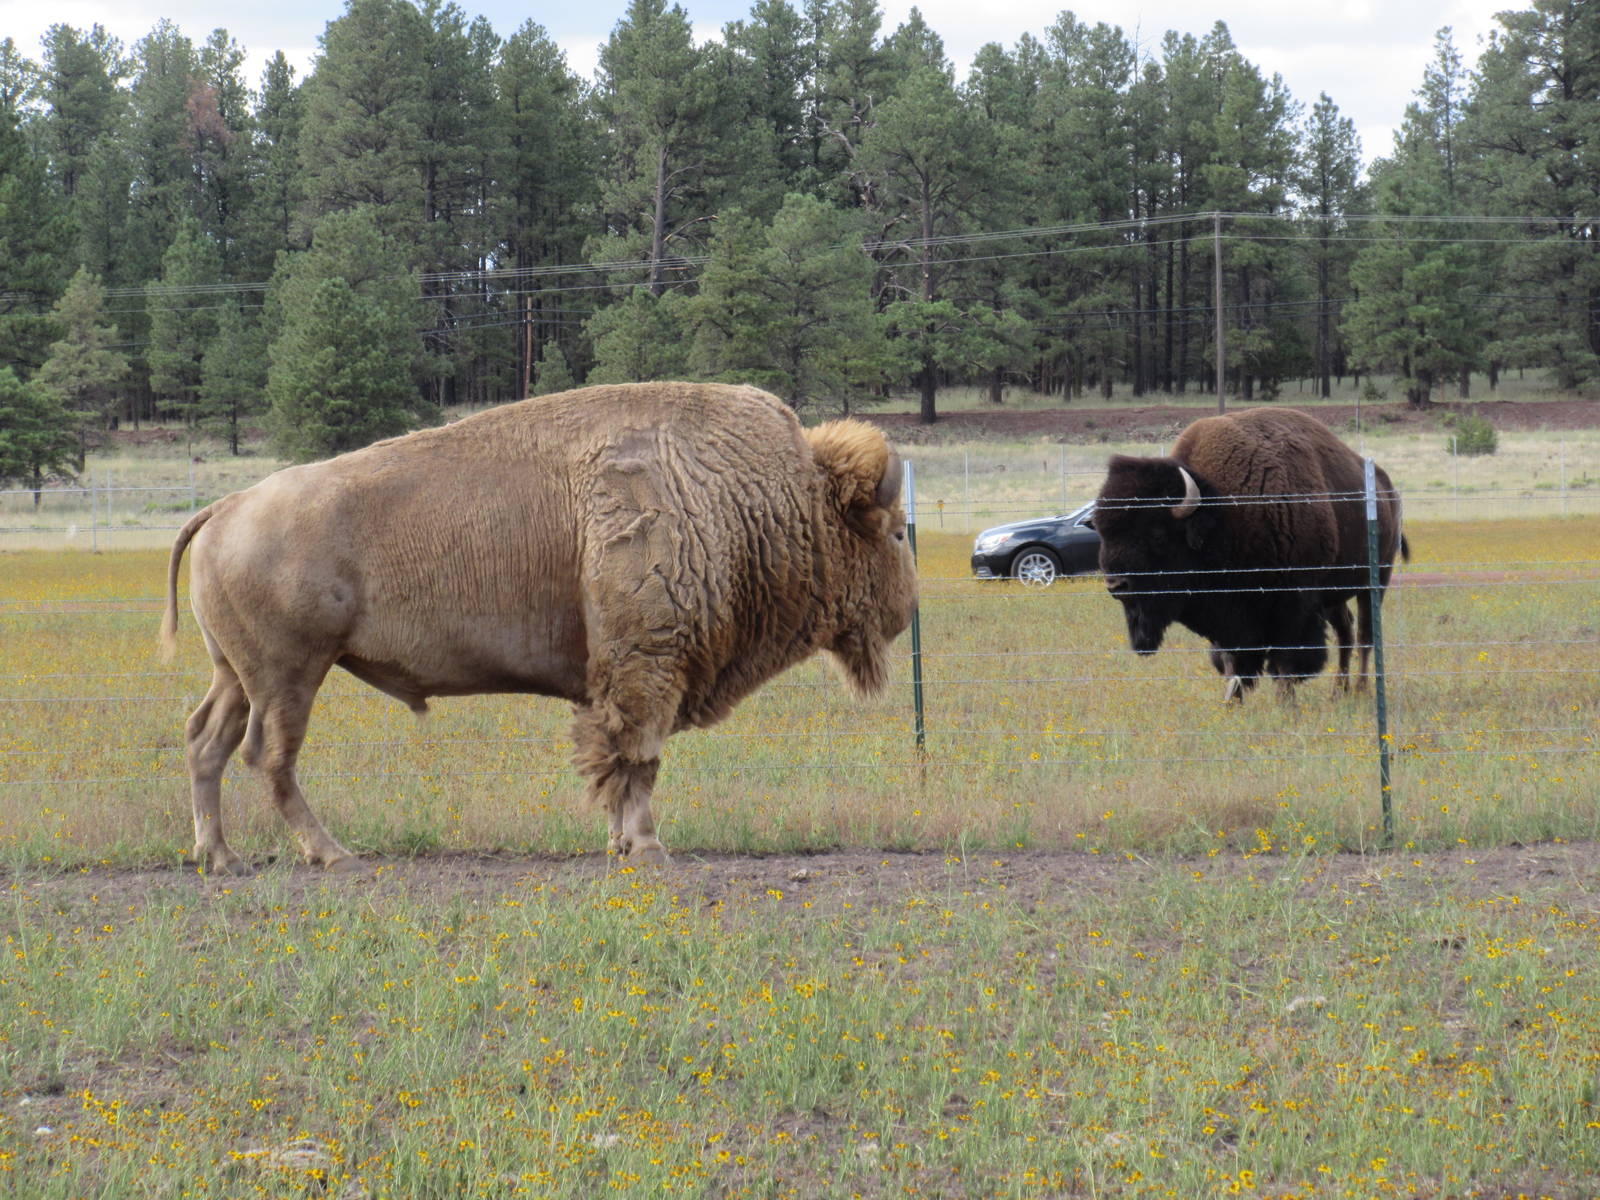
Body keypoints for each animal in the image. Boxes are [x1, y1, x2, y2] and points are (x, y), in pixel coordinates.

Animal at [160, 382, 918, 872]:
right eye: (889, 532)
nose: (905, 610)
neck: (753, 493)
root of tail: (226, 506)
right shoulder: (648, 666)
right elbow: (637, 758)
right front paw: (648, 847)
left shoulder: (621, 679)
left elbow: (618, 762)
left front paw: (621, 843)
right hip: (289, 675)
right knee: (269, 757)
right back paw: (333, 854)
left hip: (238, 674)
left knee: (207, 742)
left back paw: (220, 857)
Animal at [1094, 407, 1408, 700]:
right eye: (1102, 534)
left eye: (1157, 535)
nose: (1116, 585)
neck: (1223, 515)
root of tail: (1387, 488)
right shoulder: (1230, 618)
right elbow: (1231, 661)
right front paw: (1233, 703)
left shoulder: (1293, 607)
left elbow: (1284, 661)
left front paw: (1286, 705)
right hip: (1334, 594)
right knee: (1346, 630)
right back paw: (1338, 692)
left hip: (1375, 580)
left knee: (1366, 634)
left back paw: (1360, 690)